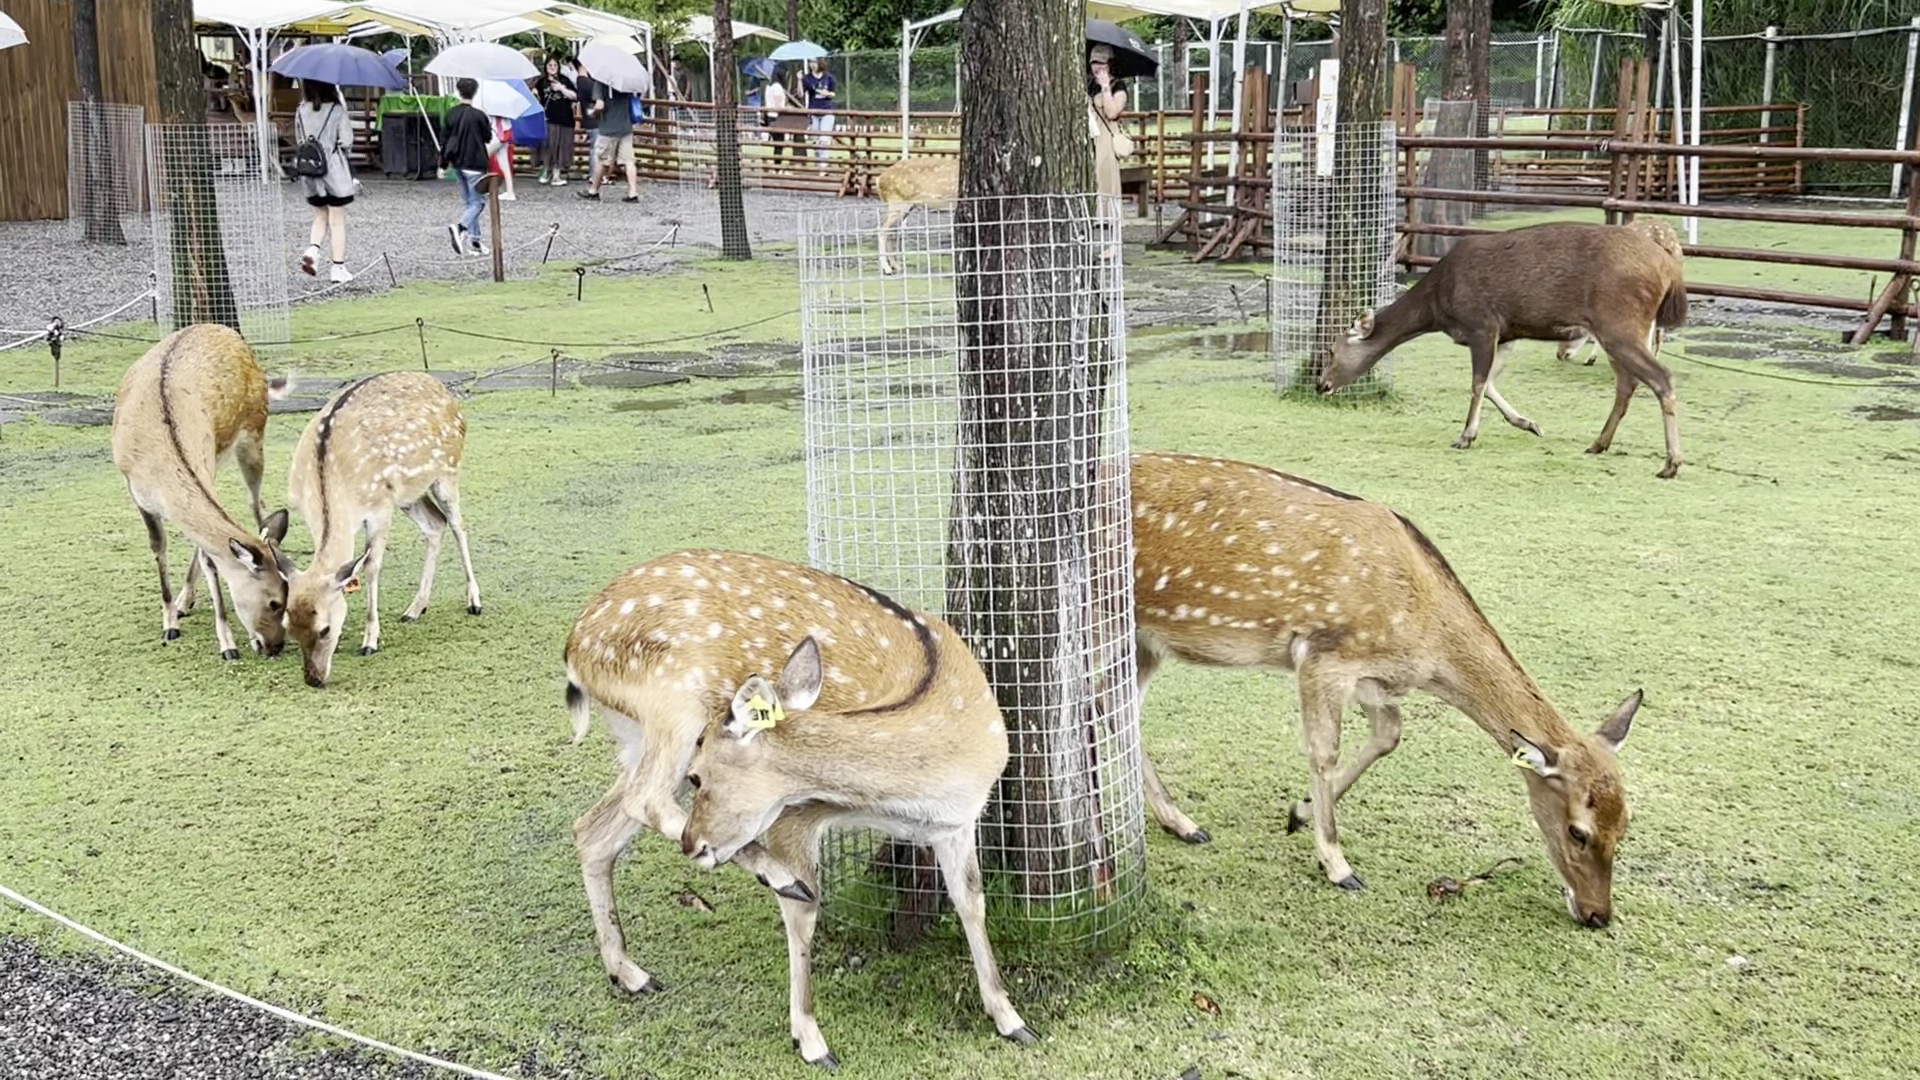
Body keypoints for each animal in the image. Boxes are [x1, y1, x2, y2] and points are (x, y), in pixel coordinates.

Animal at [110, 323, 295, 661]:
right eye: (274, 602)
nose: (275, 647)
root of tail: (224, 329)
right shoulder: (137, 494)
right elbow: (159, 547)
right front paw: (170, 622)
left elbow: (211, 558)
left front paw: (227, 644)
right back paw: (184, 603)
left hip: (253, 434)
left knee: (257, 505)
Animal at [283, 372, 483, 689]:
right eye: (288, 626)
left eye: (325, 628)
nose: (313, 678)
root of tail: (443, 389)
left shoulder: (380, 508)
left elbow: (372, 567)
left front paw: (370, 641)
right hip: (409, 494)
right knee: (435, 524)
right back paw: (415, 609)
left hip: (448, 471)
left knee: (457, 526)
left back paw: (474, 601)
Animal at [565, 550, 1037, 1069]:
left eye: (700, 776)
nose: (693, 844)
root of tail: (574, 648)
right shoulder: (796, 812)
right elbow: (804, 911)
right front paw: (811, 1040)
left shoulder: (959, 821)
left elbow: (971, 901)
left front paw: (1011, 1018)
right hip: (674, 704)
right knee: (642, 798)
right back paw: (769, 877)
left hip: (637, 733)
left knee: (594, 829)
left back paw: (630, 973)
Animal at [1127, 451, 1642, 928]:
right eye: (1577, 831)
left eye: (1625, 826)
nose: (1598, 914)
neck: (1424, 639)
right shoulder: (1322, 656)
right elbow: (1324, 752)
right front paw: (1337, 865)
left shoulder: (1373, 676)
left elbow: (1390, 733)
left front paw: (1298, 812)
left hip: (1146, 644)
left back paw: (1182, 824)